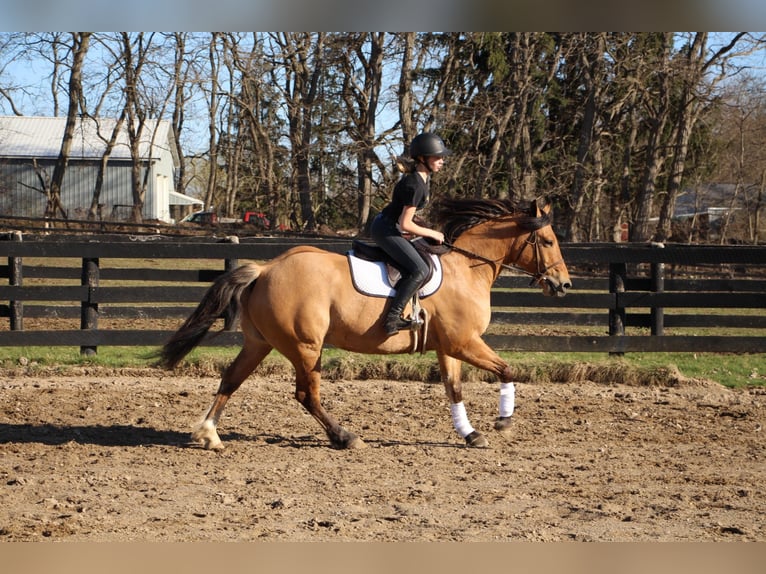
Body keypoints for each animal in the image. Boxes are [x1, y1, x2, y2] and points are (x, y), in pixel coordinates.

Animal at [160, 196, 568, 452]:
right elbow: (506, 369)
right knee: (306, 394)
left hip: (260, 343)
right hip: (305, 346)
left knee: (231, 380)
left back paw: (209, 434)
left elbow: (454, 390)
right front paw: (504, 422)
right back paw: (345, 437)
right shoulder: (464, 342)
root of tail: (265, 268)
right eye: (547, 241)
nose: (563, 285)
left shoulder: (449, 346)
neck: (467, 268)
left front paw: (470, 434)